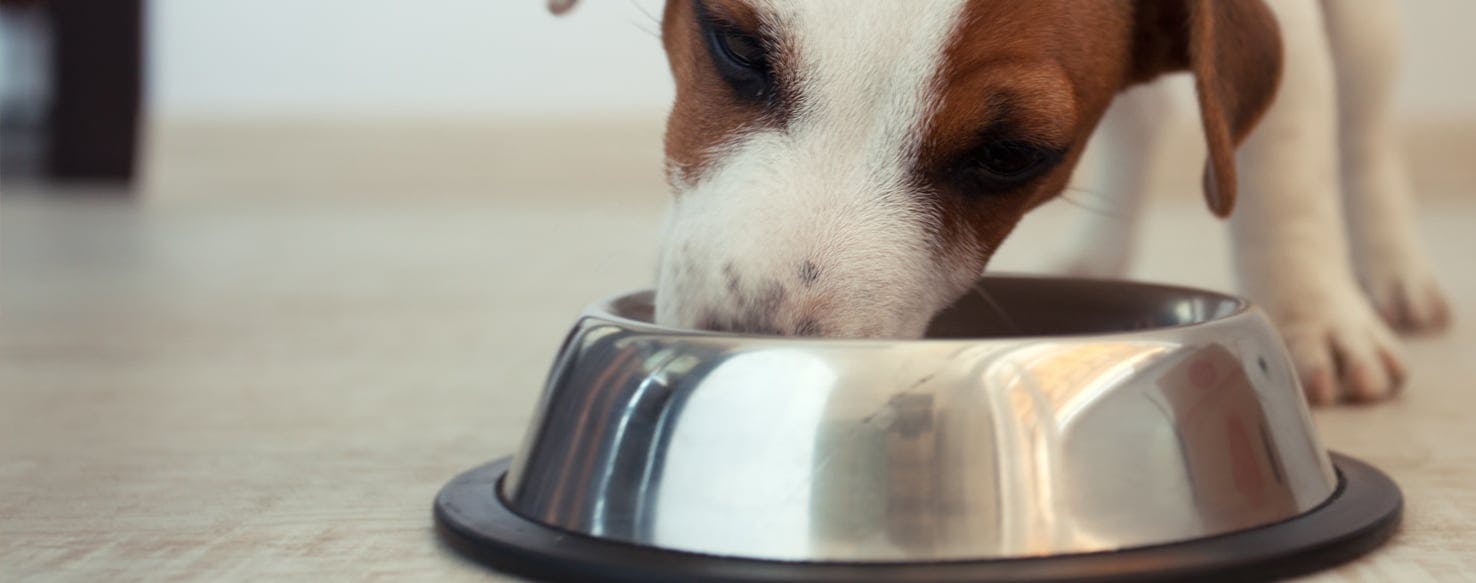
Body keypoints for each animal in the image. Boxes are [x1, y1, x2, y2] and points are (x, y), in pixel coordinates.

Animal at [549, 0, 1446, 407]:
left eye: (1008, 155)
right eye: (736, 44)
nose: (759, 353)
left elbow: (1289, 173)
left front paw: (1312, 316)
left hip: (1367, 30)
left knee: (1363, 131)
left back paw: (1396, 275)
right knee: (1144, 119)